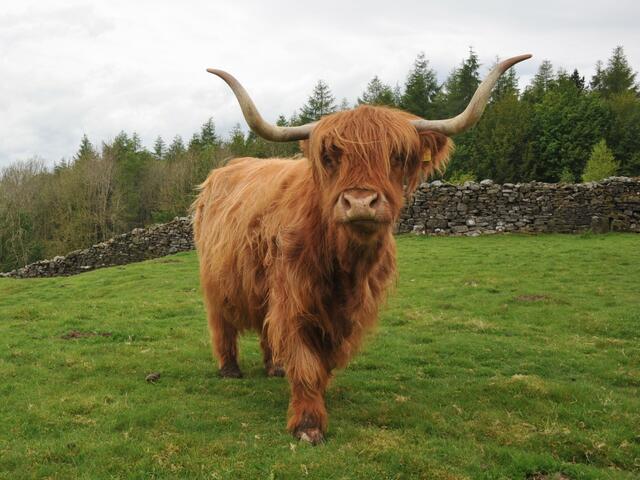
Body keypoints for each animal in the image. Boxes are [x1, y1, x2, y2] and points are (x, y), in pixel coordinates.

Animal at [192, 54, 531, 444]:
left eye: (397, 156)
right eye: (330, 157)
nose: (359, 202)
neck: (344, 265)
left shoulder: (346, 311)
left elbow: (321, 359)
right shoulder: (292, 295)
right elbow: (304, 360)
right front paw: (308, 423)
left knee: (266, 327)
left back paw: (274, 367)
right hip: (215, 281)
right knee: (222, 323)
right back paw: (230, 369)